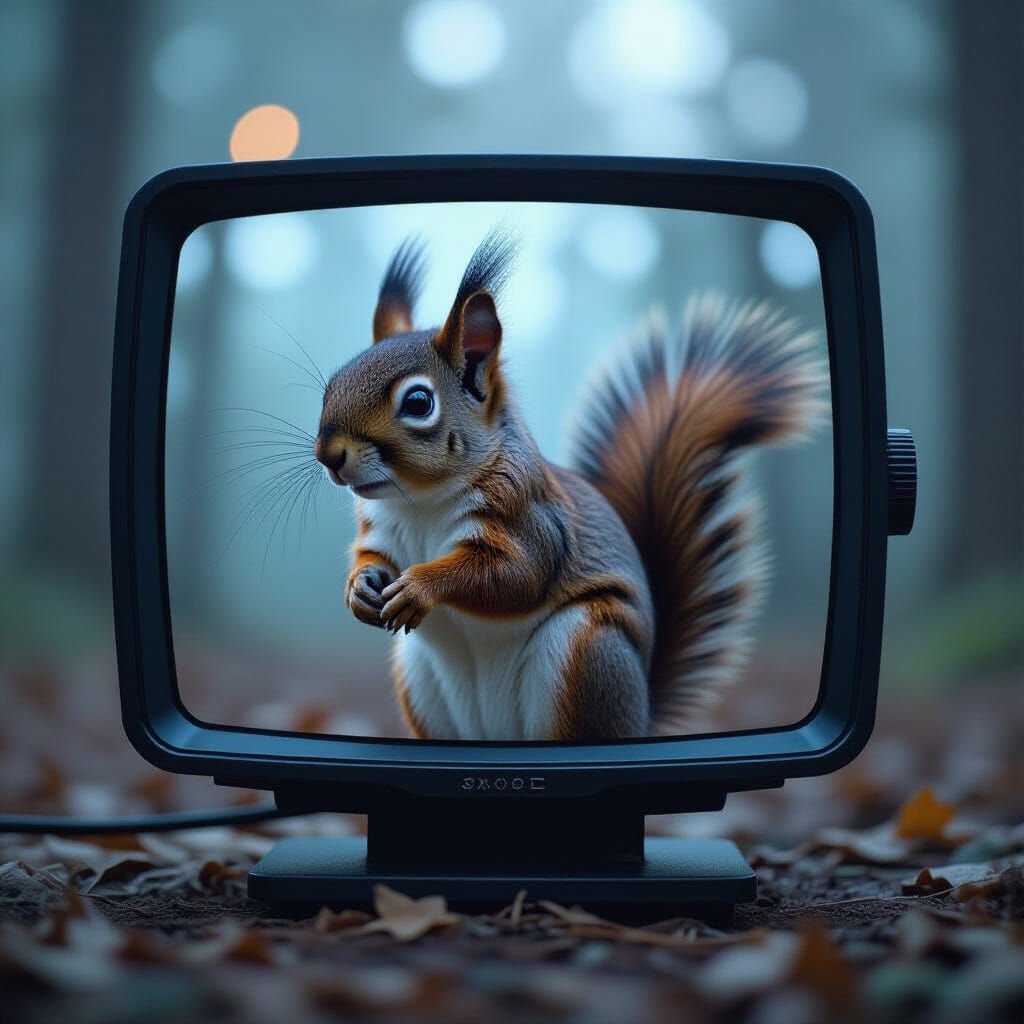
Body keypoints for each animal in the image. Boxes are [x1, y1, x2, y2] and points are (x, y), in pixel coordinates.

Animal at [314, 228, 825, 742]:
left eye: (418, 402)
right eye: (331, 386)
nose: (328, 455)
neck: (420, 503)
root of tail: (641, 713)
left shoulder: (529, 519)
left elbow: (515, 576)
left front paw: (421, 586)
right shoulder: (380, 531)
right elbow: (371, 557)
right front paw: (359, 588)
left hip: (586, 653)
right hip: (421, 680)